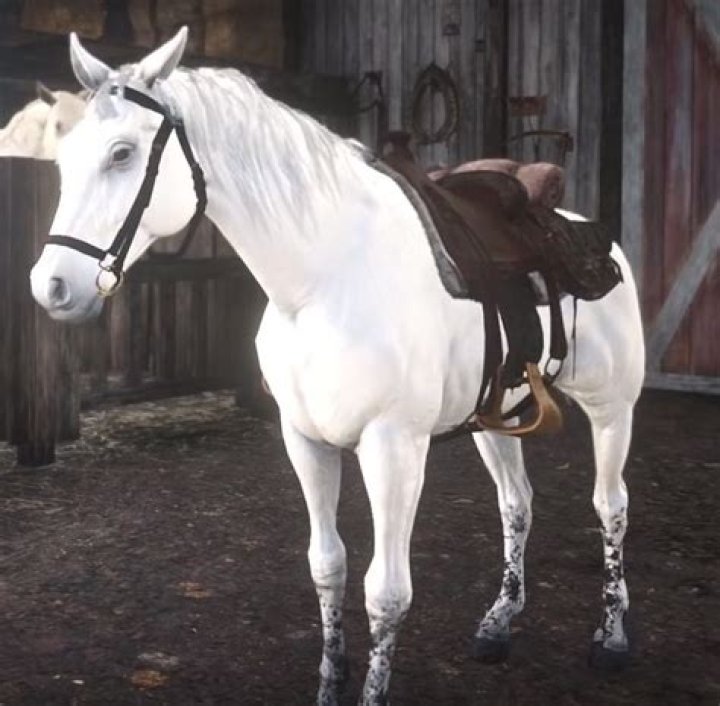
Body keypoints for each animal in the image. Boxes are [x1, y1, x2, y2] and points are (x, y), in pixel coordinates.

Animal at [28, 28, 645, 705]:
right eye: (64, 157)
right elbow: (327, 566)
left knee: (610, 504)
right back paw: (498, 623)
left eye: (121, 154)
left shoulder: (394, 449)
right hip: (497, 417)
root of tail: (589, 234)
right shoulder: (306, 441)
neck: (324, 279)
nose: (50, 286)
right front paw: (330, 681)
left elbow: (387, 592)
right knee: (517, 504)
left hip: (612, 409)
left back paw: (613, 638)